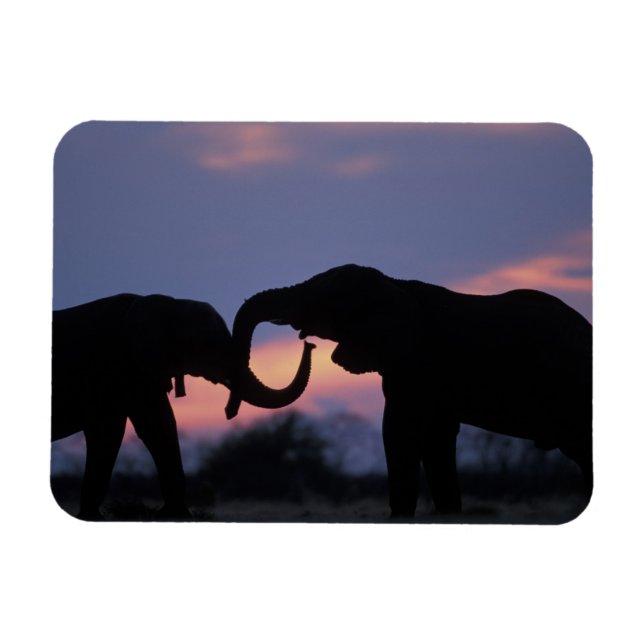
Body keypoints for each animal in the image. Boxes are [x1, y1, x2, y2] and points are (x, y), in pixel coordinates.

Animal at [51, 293, 314, 520]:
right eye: (210, 345)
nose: (309, 344)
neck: (165, 304)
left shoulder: (142, 373)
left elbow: (158, 426)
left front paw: (173, 515)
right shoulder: (108, 370)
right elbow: (108, 432)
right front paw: (91, 517)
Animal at [228, 264, 592, 518]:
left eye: (325, 297)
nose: (230, 411)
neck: (395, 285)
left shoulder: (415, 365)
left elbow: (399, 431)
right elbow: (436, 439)